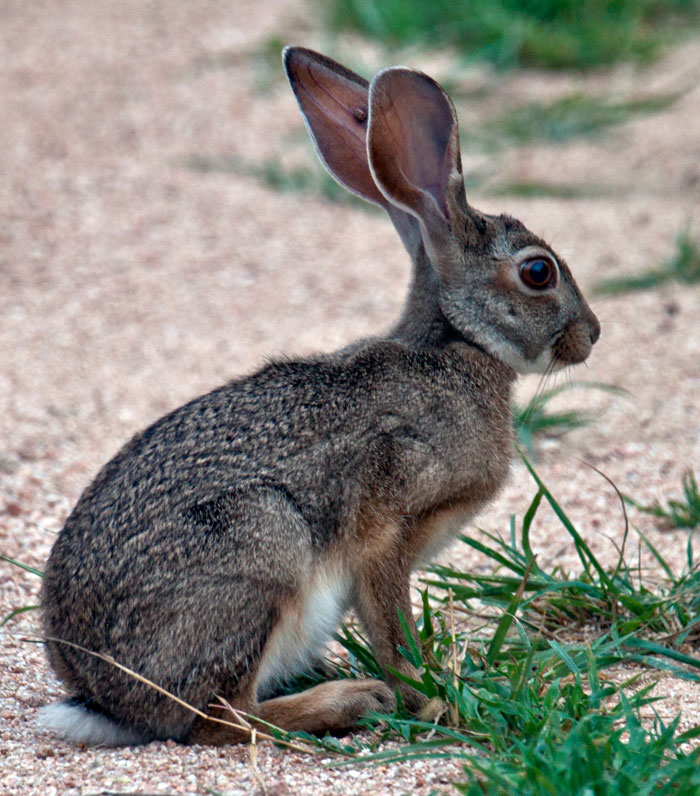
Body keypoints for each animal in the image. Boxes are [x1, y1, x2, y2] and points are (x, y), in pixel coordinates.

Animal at [39, 46, 600, 747]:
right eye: (537, 272)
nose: (592, 335)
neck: (456, 345)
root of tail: (102, 698)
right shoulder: (389, 526)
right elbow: (392, 628)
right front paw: (430, 699)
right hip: (264, 545)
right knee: (222, 717)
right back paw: (350, 700)